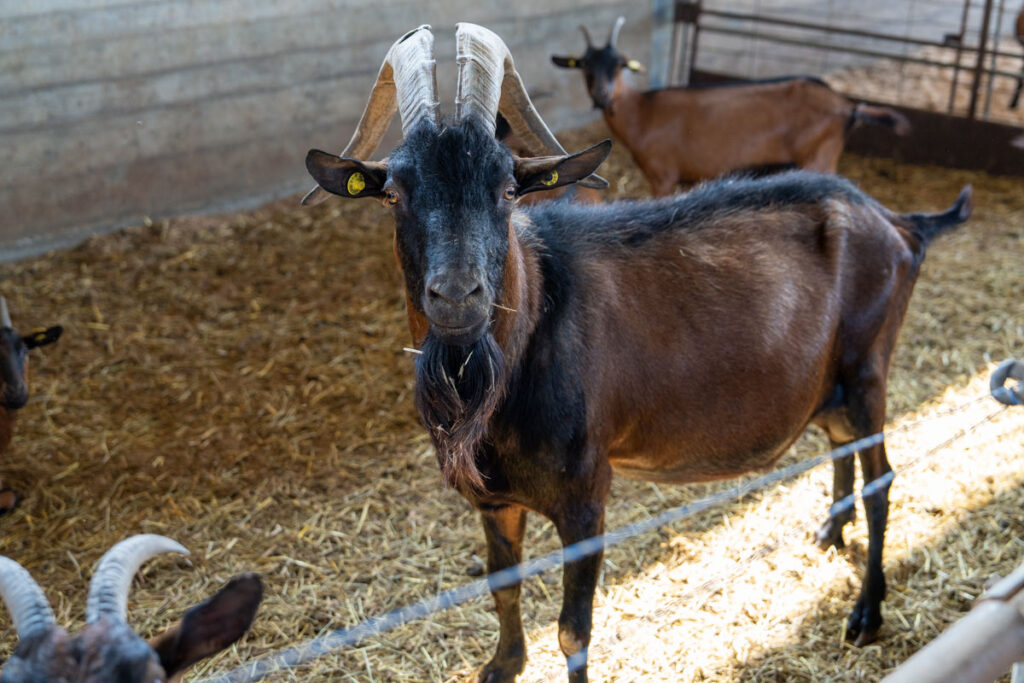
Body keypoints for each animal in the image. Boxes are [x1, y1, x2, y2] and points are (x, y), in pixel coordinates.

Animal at [551, 17, 911, 196]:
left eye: (620, 65)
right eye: (584, 65)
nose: (602, 96)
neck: (642, 112)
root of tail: (847, 107)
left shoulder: (664, 177)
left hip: (818, 158)